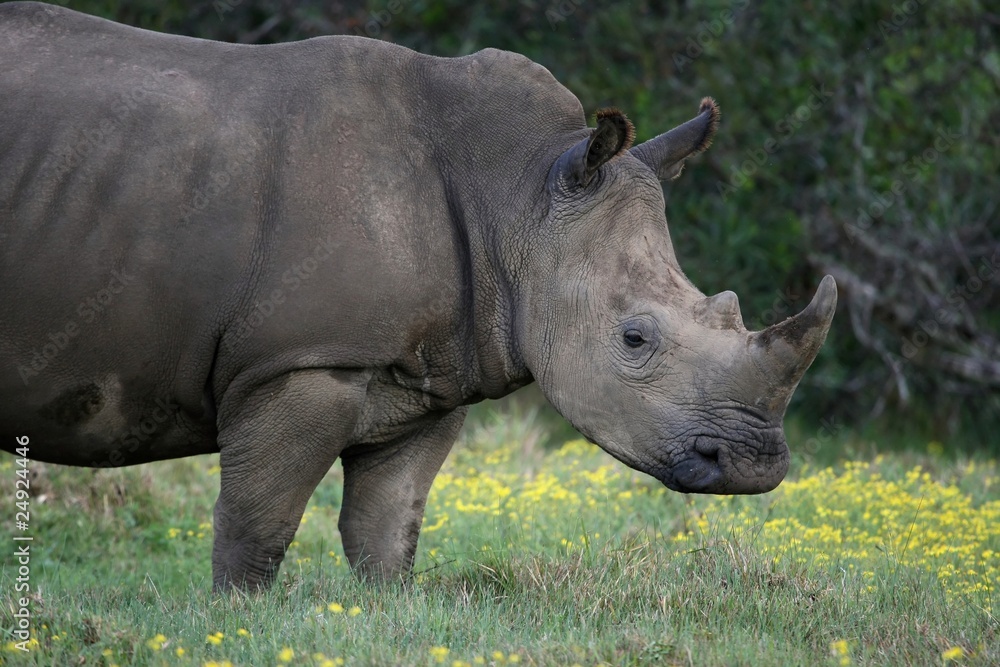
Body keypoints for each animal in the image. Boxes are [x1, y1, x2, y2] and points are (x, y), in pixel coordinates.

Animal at [0, 2, 836, 591]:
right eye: (634, 338)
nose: (756, 465)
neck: (520, 193)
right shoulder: (301, 359)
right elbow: (257, 521)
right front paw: (234, 617)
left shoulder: (431, 372)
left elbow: (387, 524)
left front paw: (383, 608)